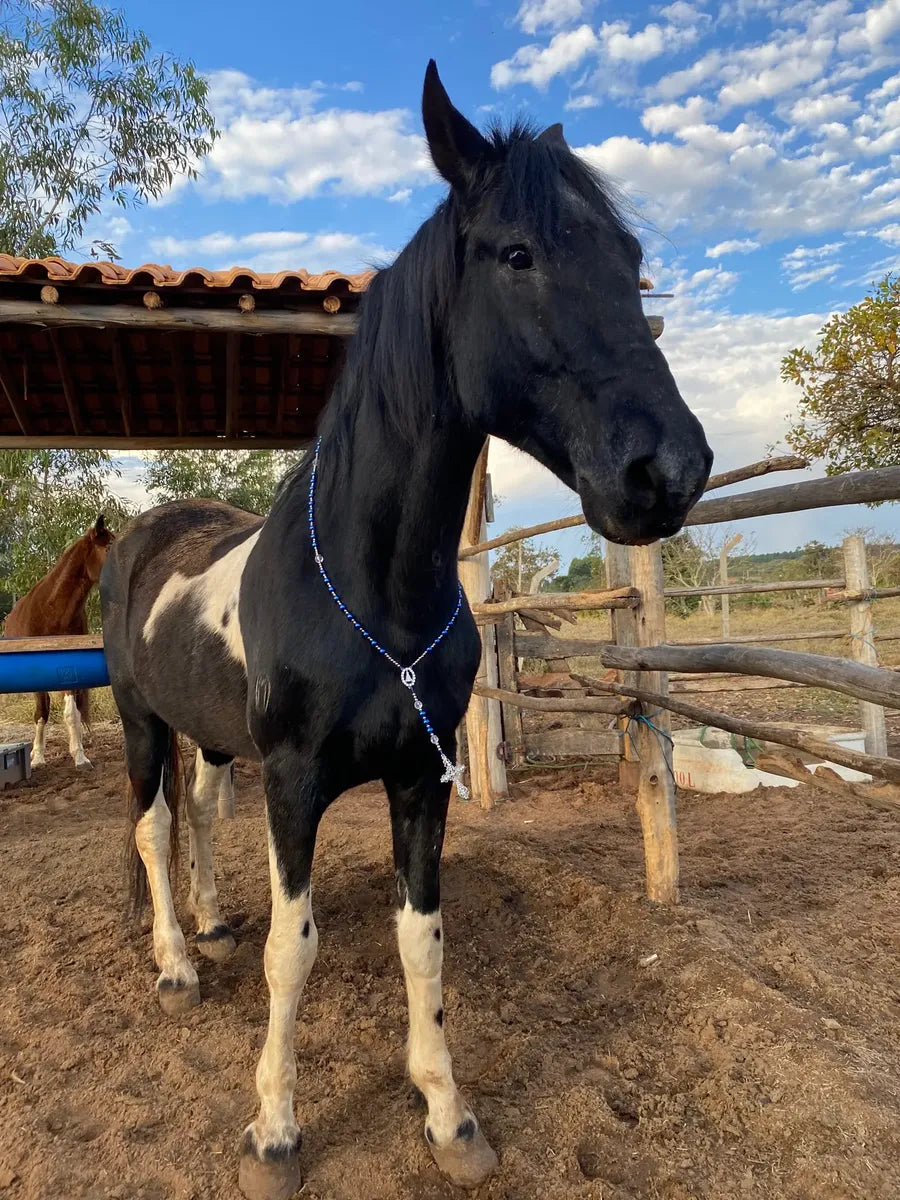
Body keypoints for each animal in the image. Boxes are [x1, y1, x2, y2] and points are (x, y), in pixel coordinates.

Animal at [4, 514, 113, 770]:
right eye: (109, 547)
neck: (51, 610)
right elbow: (41, 712)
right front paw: (38, 757)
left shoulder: (70, 669)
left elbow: (72, 714)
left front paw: (80, 756)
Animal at [99, 61, 712, 1200]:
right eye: (516, 254)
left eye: (633, 264)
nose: (671, 471)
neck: (369, 591)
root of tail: (139, 537)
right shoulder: (294, 784)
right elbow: (292, 950)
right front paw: (276, 1133)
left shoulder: (421, 781)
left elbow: (421, 941)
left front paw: (448, 1114)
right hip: (138, 722)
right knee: (154, 828)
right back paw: (174, 962)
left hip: (209, 737)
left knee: (198, 815)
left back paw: (207, 923)